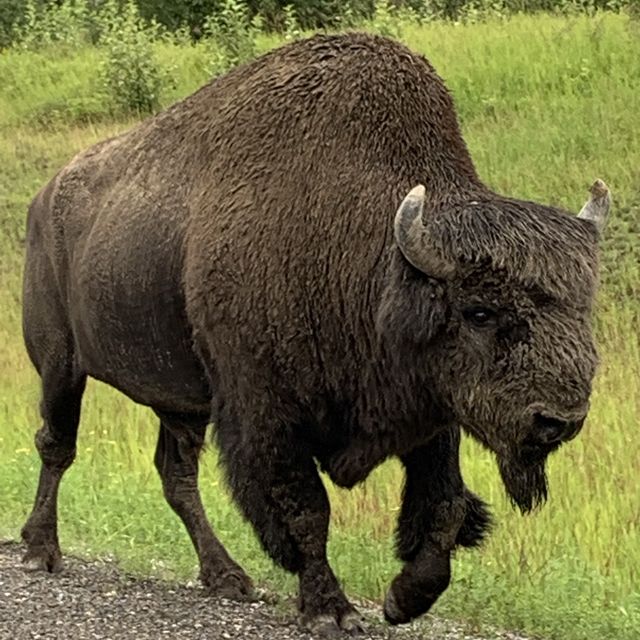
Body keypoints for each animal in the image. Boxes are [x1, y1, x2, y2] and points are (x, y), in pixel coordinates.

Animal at [20, 33, 608, 636]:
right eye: (480, 312)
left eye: (582, 306)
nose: (559, 420)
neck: (365, 252)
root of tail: (44, 199)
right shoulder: (267, 415)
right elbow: (307, 510)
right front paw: (331, 609)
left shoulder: (430, 414)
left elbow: (444, 506)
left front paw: (405, 599)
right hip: (61, 366)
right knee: (57, 446)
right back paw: (41, 551)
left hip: (180, 401)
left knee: (176, 476)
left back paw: (226, 578)